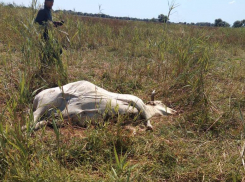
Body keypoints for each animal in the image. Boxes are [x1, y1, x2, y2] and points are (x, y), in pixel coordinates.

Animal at [26, 80, 176, 131]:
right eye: (161, 103)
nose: (175, 111)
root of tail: (36, 98)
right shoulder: (136, 100)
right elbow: (145, 115)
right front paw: (149, 126)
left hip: (49, 111)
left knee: (41, 121)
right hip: (46, 101)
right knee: (34, 117)